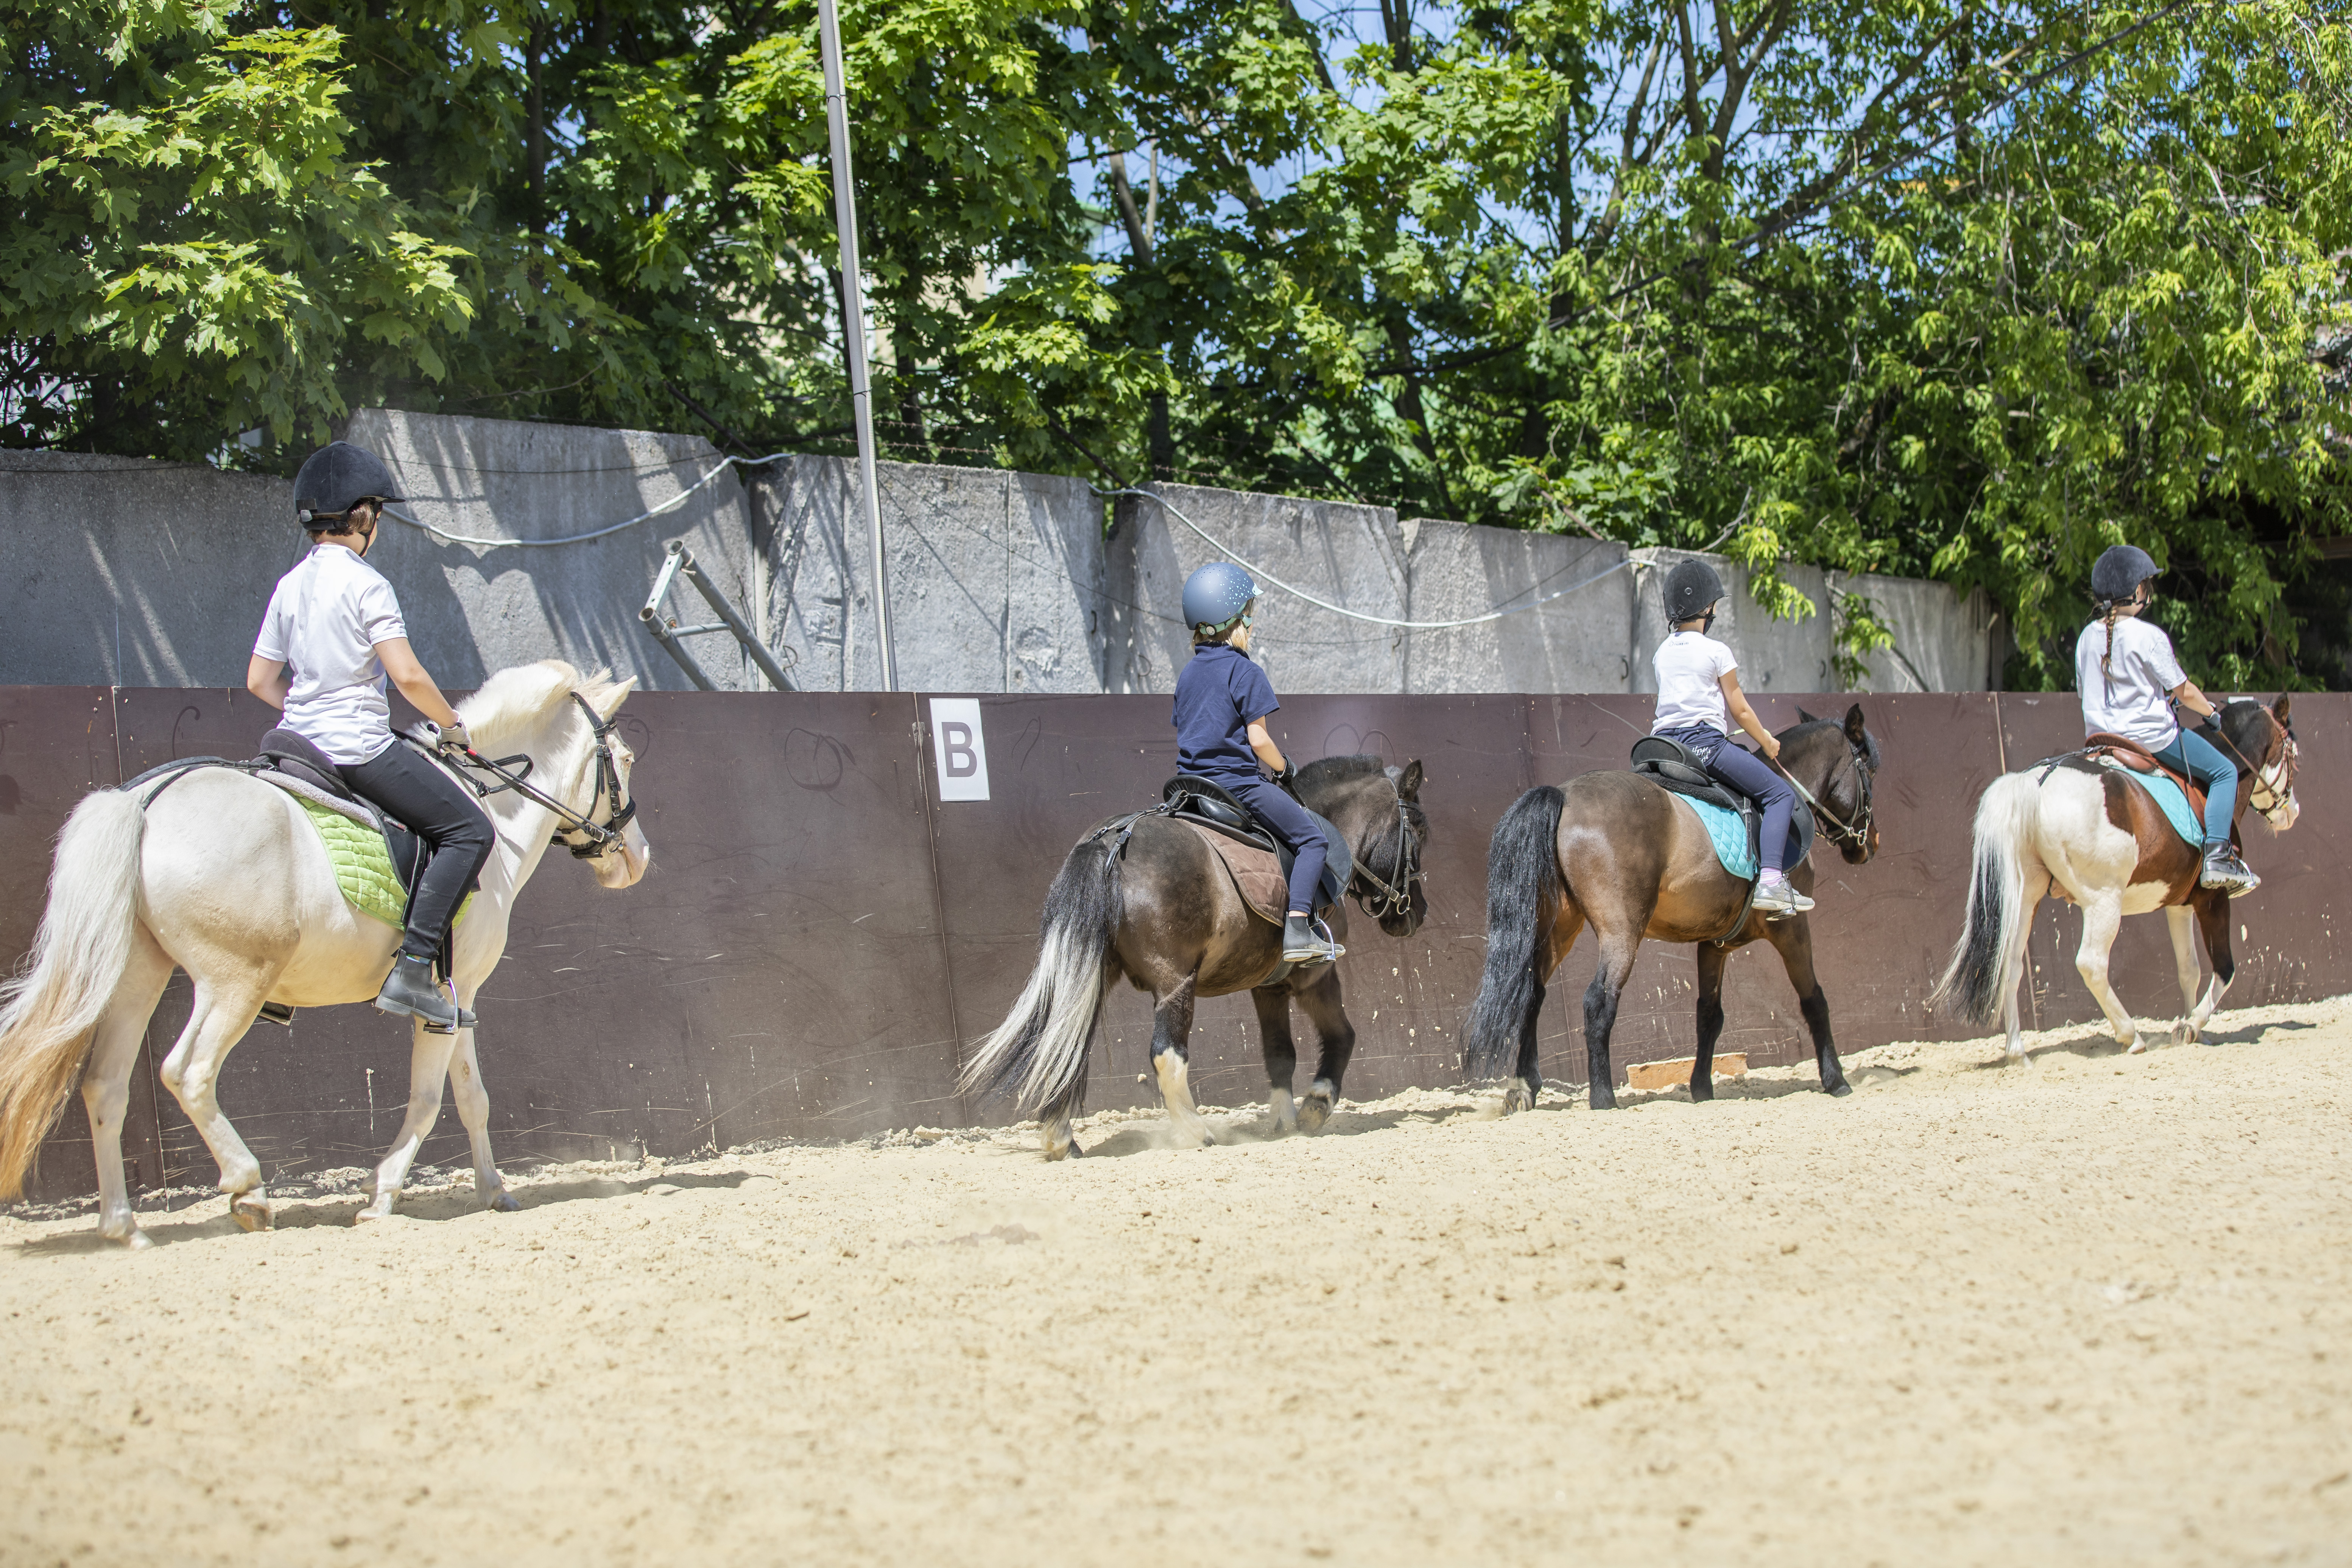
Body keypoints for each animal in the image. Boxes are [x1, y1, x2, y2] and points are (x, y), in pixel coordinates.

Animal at [0, 658, 649, 1241]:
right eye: (623, 760)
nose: (637, 857)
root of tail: (146, 801)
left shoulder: (459, 996)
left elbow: (473, 1097)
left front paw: (493, 1190)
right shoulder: (446, 995)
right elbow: (429, 1097)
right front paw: (382, 1194)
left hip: (139, 974)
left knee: (105, 1085)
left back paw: (123, 1225)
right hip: (235, 980)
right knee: (189, 1071)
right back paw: (248, 1189)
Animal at [959, 752, 1430, 1161]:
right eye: (1421, 833)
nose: (1418, 913)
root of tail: (1113, 841)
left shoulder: (1269, 985)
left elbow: (1279, 1051)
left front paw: (1282, 1122)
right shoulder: (1314, 976)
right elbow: (1342, 1036)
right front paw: (1316, 1105)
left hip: (1092, 975)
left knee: (1063, 1044)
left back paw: (1061, 1138)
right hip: (1175, 981)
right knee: (1166, 1054)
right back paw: (1193, 1130)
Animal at [1458, 705, 1882, 1109]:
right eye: (1870, 773)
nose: (1870, 843)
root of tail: (1564, 795)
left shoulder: (1714, 944)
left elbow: (1709, 1015)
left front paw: (1701, 1089)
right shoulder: (1791, 929)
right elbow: (1814, 1000)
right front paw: (1836, 1081)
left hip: (1560, 926)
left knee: (1532, 993)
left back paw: (1524, 1086)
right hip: (1622, 930)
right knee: (1599, 1000)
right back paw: (1603, 1099)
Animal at [1928, 700, 2295, 1062]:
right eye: (2292, 752)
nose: (2292, 812)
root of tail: (2037, 781)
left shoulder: (2179, 904)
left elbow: (2189, 968)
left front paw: (2193, 1030)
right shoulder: (2212, 899)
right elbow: (2225, 968)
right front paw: (2192, 1026)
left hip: (2025, 899)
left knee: (2012, 964)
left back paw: (2018, 1052)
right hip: (2104, 900)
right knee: (2092, 963)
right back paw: (2131, 1035)